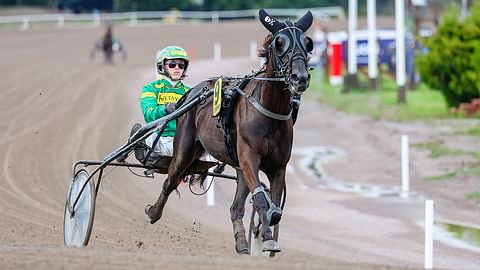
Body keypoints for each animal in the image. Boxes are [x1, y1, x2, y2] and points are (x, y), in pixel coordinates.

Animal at [144, 8, 314, 253]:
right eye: (279, 42)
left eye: (307, 43)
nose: (300, 78)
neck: (269, 110)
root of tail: (195, 91)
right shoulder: (249, 157)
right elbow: (261, 200)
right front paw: (267, 237)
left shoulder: (278, 167)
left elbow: (274, 208)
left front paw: (264, 232)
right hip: (184, 150)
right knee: (170, 180)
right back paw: (153, 212)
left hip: (238, 166)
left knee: (236, 207)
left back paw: (242, 243)